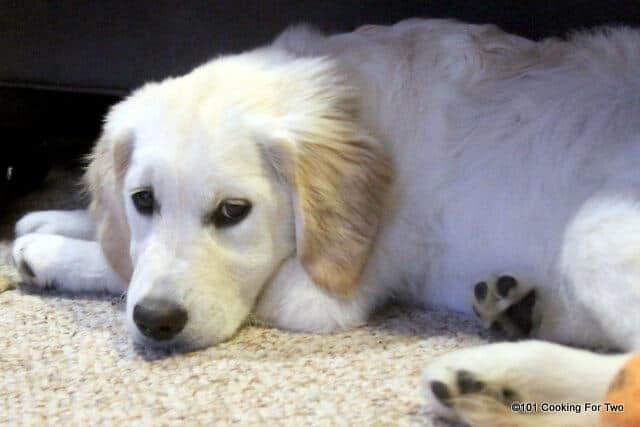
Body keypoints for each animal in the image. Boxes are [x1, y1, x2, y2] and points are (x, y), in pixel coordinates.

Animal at [11, 19, 640, 424]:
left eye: (233, 212)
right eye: (142, 200)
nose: (157, 323)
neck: (354, 103)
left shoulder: (315, 294)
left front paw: (49, 252)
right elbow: (123, 246)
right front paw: (54, 224)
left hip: (594, 233)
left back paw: (495, 383)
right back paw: (513, 318)